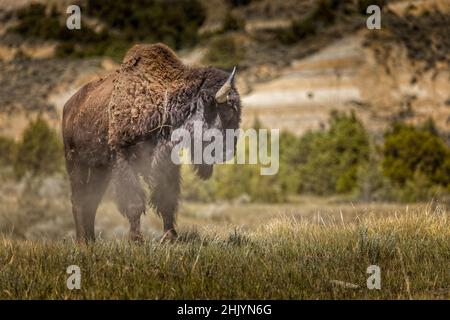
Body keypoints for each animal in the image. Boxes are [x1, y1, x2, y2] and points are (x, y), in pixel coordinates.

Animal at [63, 43, 243, 241]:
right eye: (228, 113)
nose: (228, 152)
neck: (162, 101)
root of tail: (68, 106)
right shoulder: (123, 159)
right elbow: (134, 202)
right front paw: (137, 239)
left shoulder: (164, 161)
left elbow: (166, 198)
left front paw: (170, 237)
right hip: (76, 163)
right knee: (78, 200)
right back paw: (82, 241)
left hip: (99, 170)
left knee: (91, 201)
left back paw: (92, 240)